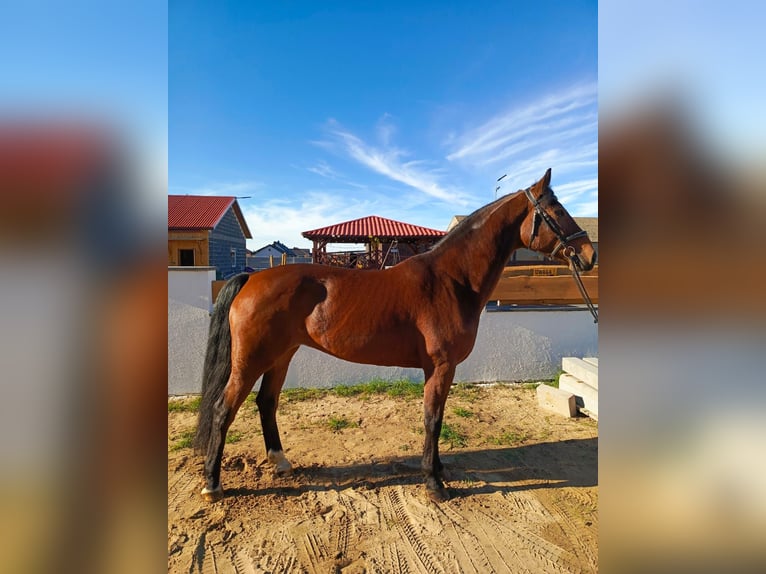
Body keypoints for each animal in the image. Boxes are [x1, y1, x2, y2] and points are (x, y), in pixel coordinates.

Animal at [195, 169, 596, 502]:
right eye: (557, 210)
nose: (588, 255)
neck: (451, 280)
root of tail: (252, 278)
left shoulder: (440, 369)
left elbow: (438, 418)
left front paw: (439, 470)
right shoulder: (440, 366)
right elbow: (433, 419)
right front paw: (434, 484)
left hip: (282, 354)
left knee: (266, 402)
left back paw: (280, 462)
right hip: (252, 360)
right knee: (223, 409)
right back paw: (213, 485)